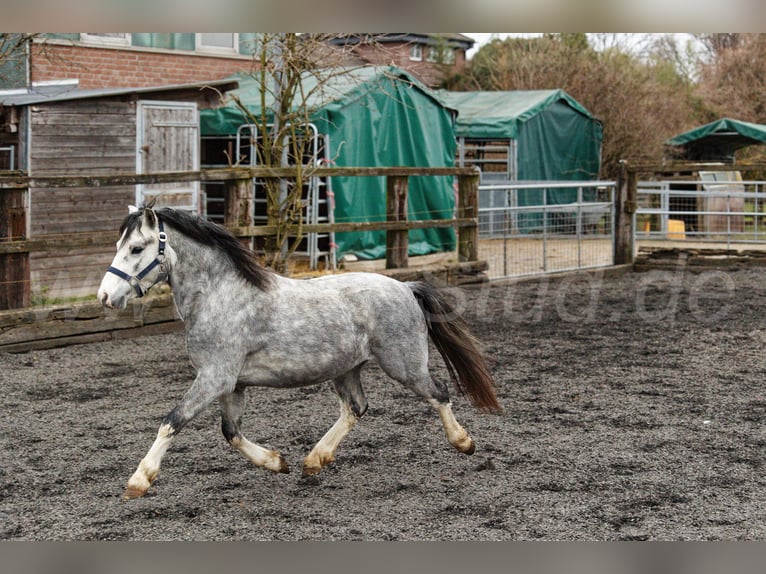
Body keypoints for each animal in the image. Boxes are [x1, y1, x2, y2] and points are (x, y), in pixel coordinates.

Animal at [97, 205, 504, 502]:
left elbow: (172, 421)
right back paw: (314, 460)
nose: (105, 297)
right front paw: (278, 463)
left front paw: (139, 481)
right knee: (356, 409)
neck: (219, 296)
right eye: (118, 246)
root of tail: (406, 288)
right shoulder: (232, 384)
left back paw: (464, 442)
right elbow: (231, 433)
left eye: (136, 248)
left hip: (405, 365)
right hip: (347, 368)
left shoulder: (214, 378)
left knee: (439, 394)